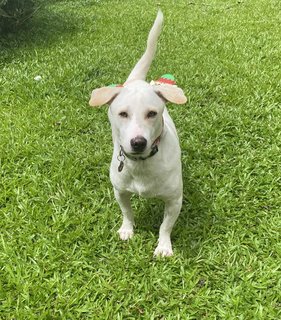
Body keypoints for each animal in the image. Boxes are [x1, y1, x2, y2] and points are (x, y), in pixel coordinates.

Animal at [89, 10, 186, 256]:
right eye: (123, 113)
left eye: (152, 113)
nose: (138, 142)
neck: (142, 164)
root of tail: (137, 82)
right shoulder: (120, 191)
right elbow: (126, 212)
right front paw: (127, 229)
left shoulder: (174, 200)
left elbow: (165, 225)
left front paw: (163, 245)